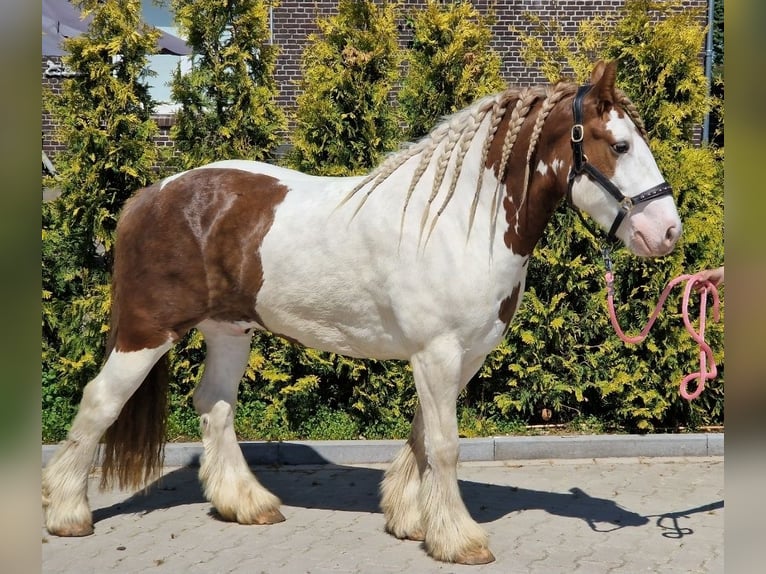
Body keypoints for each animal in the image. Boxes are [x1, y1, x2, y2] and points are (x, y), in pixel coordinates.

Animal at [42, 60, 681, 564]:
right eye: (619, 146)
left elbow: (423, 436)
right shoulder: (437, 353)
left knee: (214, 405)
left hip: (230, 331)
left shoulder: (459, 357)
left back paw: (246, 503)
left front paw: (410, 519)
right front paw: (458, 539)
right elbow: (444, 445)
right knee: (100, 401)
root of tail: (151, 195)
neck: (458, 223)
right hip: (146, 332)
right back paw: (67, 513)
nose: (668, 232)